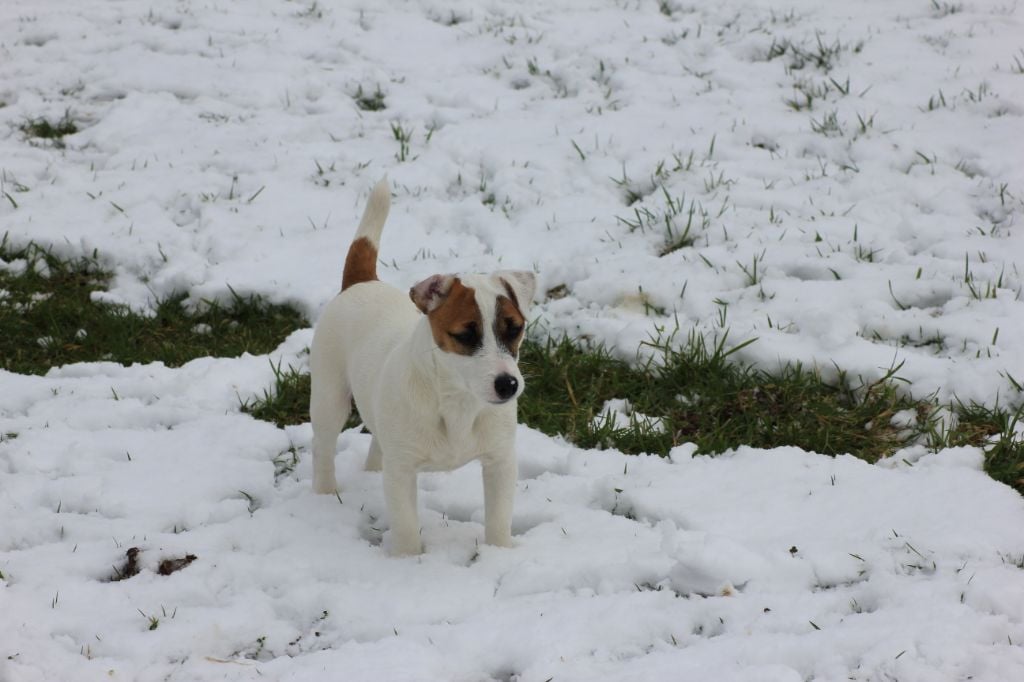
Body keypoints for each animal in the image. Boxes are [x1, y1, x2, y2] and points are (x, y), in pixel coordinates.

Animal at [309, 179, 535, 556]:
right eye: (465, 334)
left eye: (514, 328)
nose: (509, 385)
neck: (458, 402)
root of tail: (362, 282)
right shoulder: (402, 472)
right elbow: (405, 525)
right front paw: (408, 561)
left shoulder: (501, 461)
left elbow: (499, 517)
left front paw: (499, 552)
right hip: (329, 396)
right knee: (323, 447)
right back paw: (324, 495)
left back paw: (372, 472)